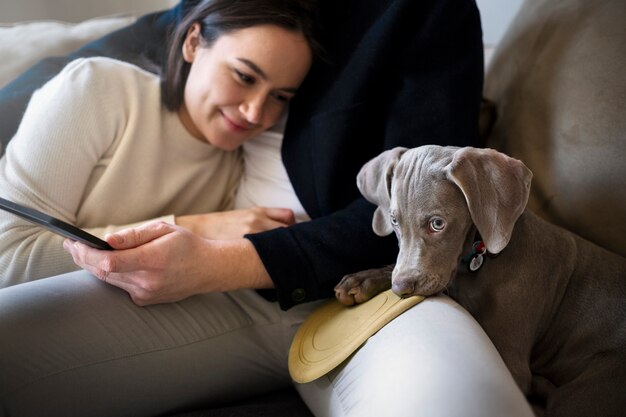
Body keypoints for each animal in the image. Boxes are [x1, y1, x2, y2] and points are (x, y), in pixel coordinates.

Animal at [334, 145, 624, 416]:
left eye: (437, 223)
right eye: (394, 221)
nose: (400, 288)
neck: (477, 257)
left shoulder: (513, 363)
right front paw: (362, 280)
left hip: (583, 393)